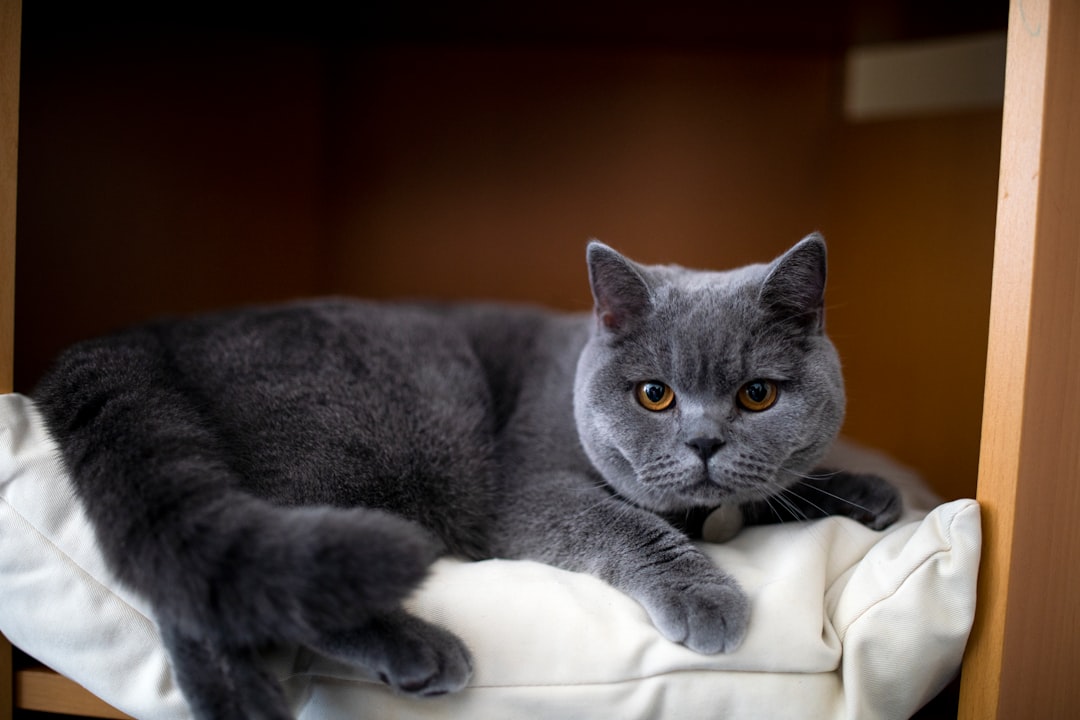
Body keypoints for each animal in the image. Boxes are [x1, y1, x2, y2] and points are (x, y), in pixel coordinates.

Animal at [33, 234, 902, 716]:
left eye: (757, 394)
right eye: (654, 395)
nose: (704, 443)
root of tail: (144, 334)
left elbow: (770, 493)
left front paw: (867, 494)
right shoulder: (527, 493)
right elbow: (622, 522)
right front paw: (705, 596)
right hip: (378, 436)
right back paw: (399, 657)